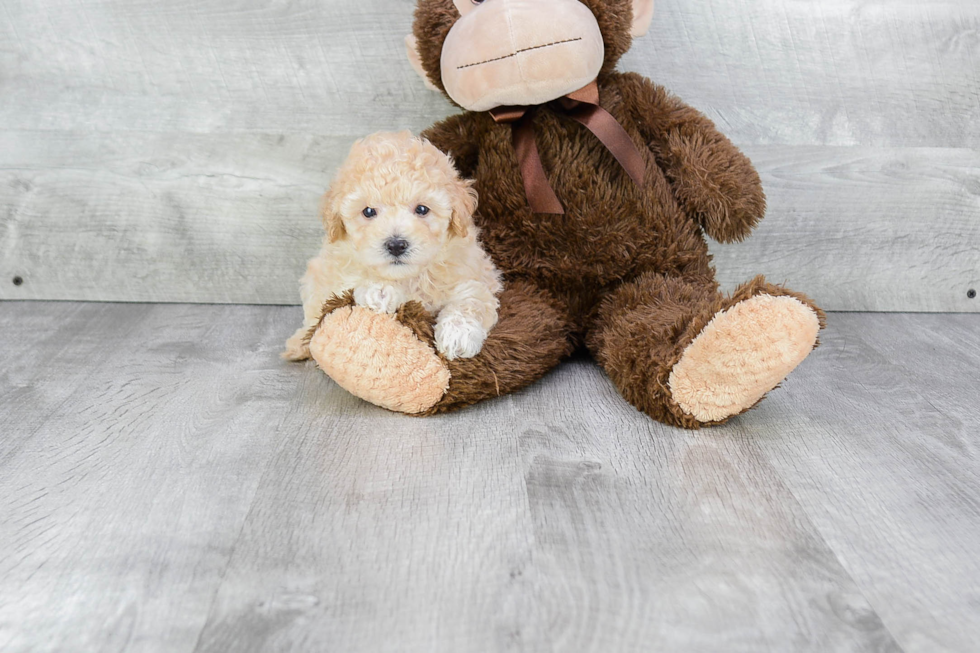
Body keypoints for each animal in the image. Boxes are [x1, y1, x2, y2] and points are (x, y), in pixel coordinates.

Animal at [282, 129, 498, 360]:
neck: (408, 277)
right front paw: (380, 291)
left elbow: (472, 296)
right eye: (368, 211)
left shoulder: (476, 273)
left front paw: (458, 333)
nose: (396, 245)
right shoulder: (336, 272)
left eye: (422, 209)